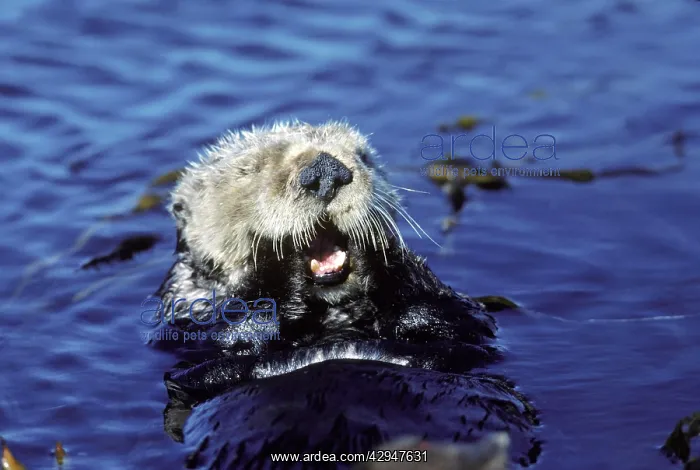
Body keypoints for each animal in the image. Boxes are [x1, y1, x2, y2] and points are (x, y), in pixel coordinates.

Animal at [150, 120, 542, 468]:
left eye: (362, 156)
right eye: (249, 169)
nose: (324, 170)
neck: (332, 320)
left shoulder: (468, 328)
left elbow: (460, 318)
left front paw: (379, 250)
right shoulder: (186, 325)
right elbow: (229, 333)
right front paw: (276, 259)